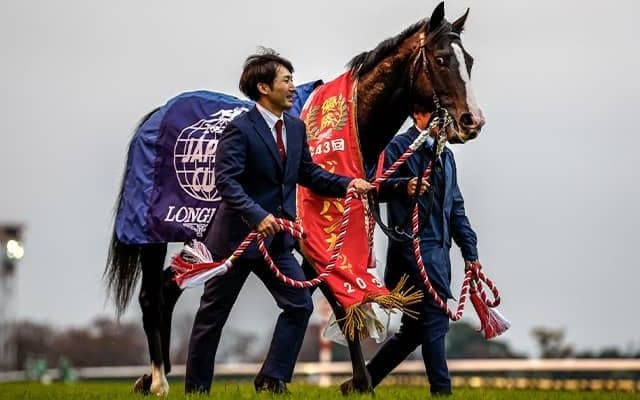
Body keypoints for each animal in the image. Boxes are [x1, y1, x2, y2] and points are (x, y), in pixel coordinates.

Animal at [104, 2, 484, 396]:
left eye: (469, 60)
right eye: (441, 59)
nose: (471, 121)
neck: (351, 124)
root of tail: (156, 115)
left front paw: (274, 377)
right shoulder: (314, 235)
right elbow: (340, 300)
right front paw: (358, 382)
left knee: (170, 286)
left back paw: (151, 376)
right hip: (151, 231)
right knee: (152, 295)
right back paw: (159, 381)